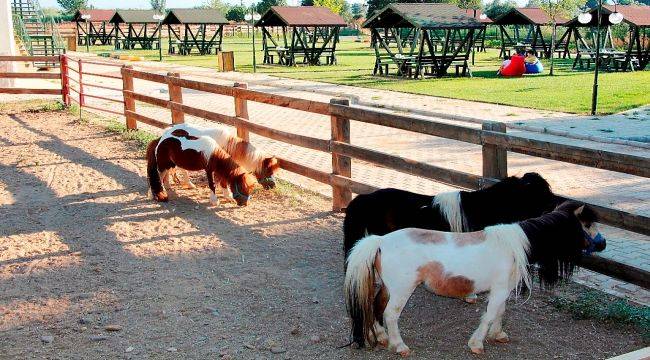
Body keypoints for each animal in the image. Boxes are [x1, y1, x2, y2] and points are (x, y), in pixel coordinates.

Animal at [344, 201, 604, 356]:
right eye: (587, 223)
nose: (602, 244)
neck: (515, 245)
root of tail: (380, 241)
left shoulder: (502, 290)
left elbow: (499, 312)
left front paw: (498, 335)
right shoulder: (499, 290)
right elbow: (489, 316)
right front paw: (477, 343)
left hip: (388, 287)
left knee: (375, 307)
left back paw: (381, 337)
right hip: (402, 290)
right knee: (389, 314)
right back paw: (399, 346)